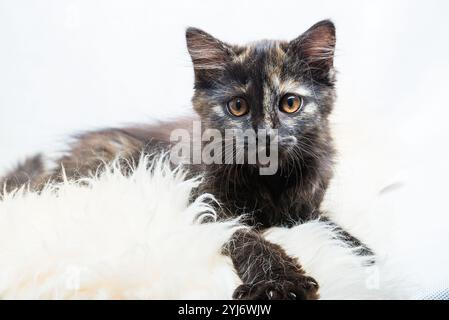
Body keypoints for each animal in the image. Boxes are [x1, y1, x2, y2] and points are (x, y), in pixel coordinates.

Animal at [0, 20, 372, 300]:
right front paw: (278, 282)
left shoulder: (306, 210)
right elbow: (247, 237)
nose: (263, 134)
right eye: (237, 107)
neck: (269, 180)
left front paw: (362, 253)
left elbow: (332, 228)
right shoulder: (205, 203)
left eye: (290, 103)